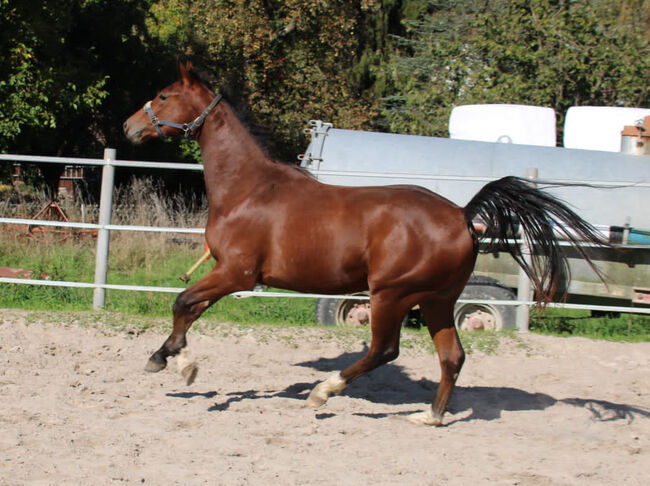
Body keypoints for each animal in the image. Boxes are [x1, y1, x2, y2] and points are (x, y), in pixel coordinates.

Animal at [124, 59, 604, 426]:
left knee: (385, 350)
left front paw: (175, 364)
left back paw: (323, 392)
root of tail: (464, 217)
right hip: (438, 299)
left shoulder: (237, 273)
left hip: (391, 294)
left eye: (163, 96)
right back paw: (430, 416)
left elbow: (183, 303)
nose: (130, 126)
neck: (249, 189)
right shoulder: (226, 272)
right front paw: (172, 360)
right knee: (452, 356)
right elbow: (190, 309)